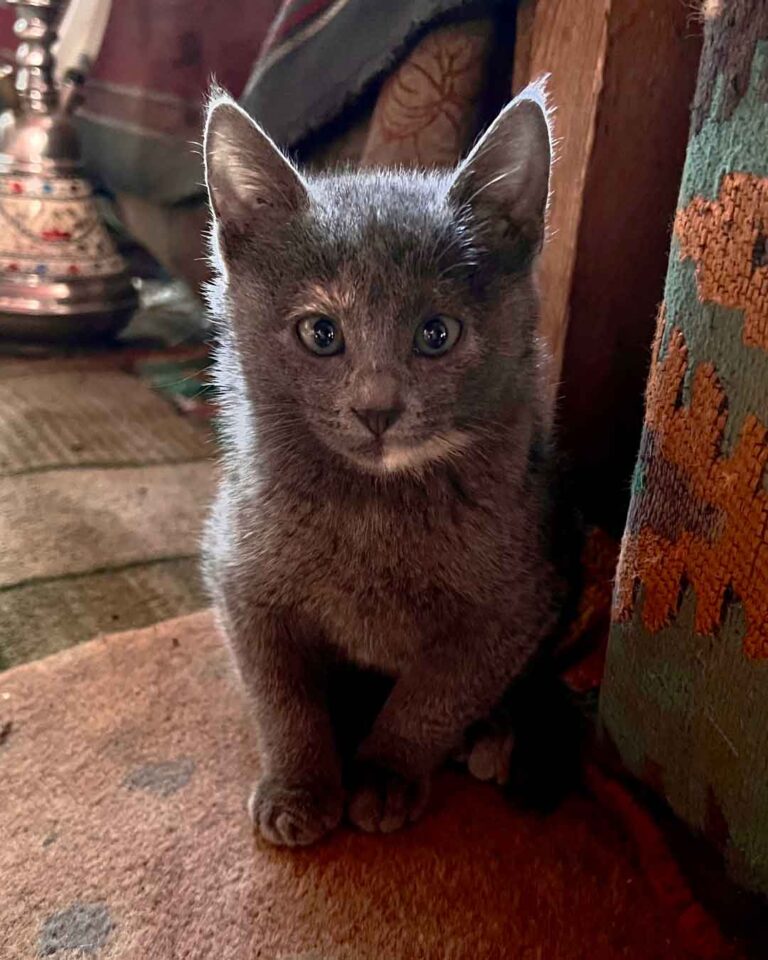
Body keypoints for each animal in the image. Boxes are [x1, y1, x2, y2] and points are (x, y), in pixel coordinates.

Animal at [201, 84, 568, 848]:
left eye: (436, 333)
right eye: (320, 332)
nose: (376, 409)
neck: (372, 504)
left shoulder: (517, 601)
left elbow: (436, 692)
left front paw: (385, 773)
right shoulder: (238, 575)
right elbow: (281, 695)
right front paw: (301, 784)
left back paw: (491, 737)